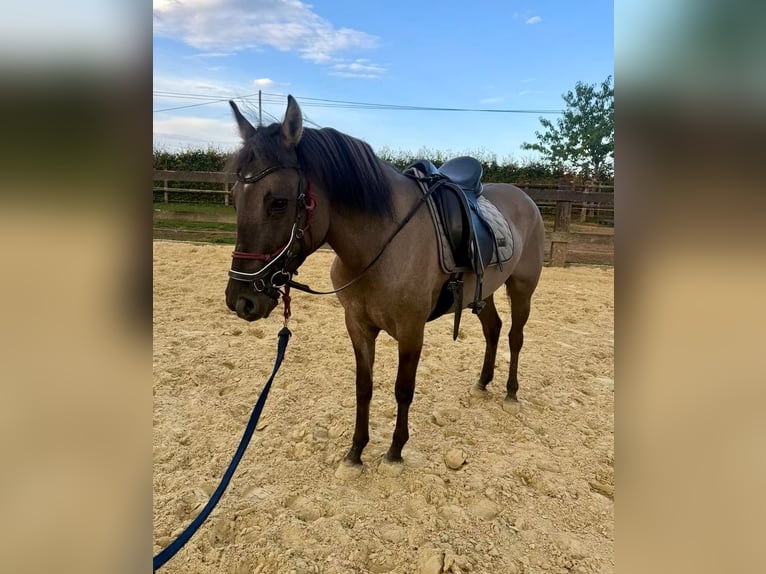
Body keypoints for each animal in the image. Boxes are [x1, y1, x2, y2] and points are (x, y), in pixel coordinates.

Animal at [224, 95, 544, 473]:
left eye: (278, 202)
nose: (241, 300)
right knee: (493, 328)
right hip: (483, 290)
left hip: (522, 288)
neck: (381, 243)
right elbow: (364, 386)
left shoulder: (411, 330)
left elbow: (403, 388)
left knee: (515, 336)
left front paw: (395, 450)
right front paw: (356, 451)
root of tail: (525, 198)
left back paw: (510, 391)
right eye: (235, 197)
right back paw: (483, 382)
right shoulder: (358, 324)